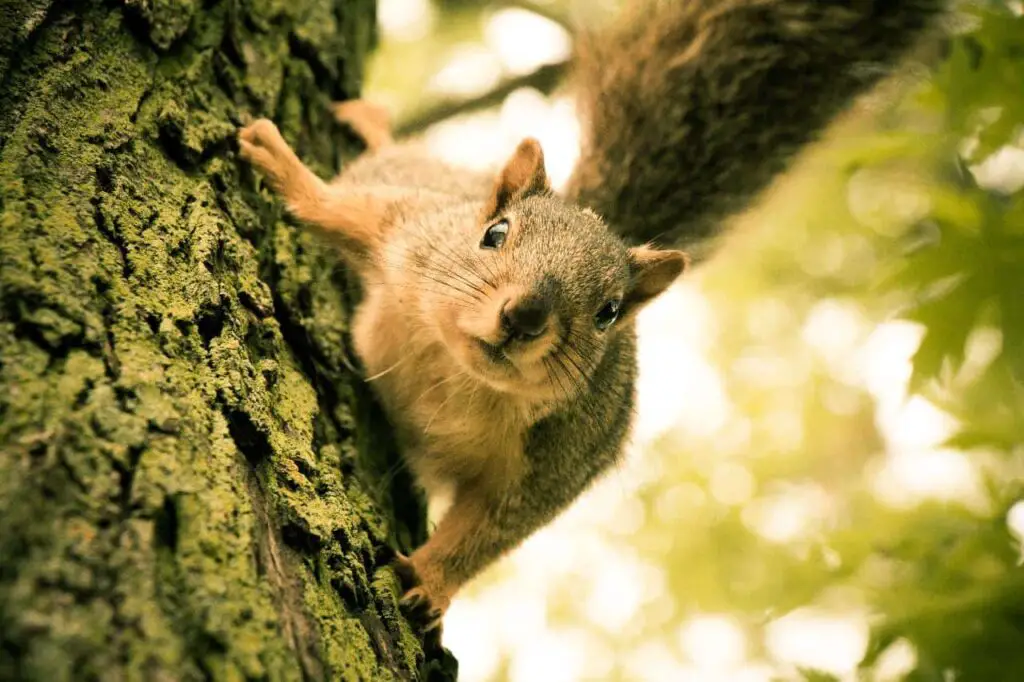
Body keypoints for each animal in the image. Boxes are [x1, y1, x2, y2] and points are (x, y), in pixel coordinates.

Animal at [237, 0, 942, 638]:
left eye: (609, 314)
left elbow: (491, 529)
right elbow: (344, 209)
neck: (463, 378)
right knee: (389, 156)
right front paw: (286, 168)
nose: (524, 316)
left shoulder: (558, 461)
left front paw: (433, 582)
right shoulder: (411, 237)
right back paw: (371, 119)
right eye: (494, 234)